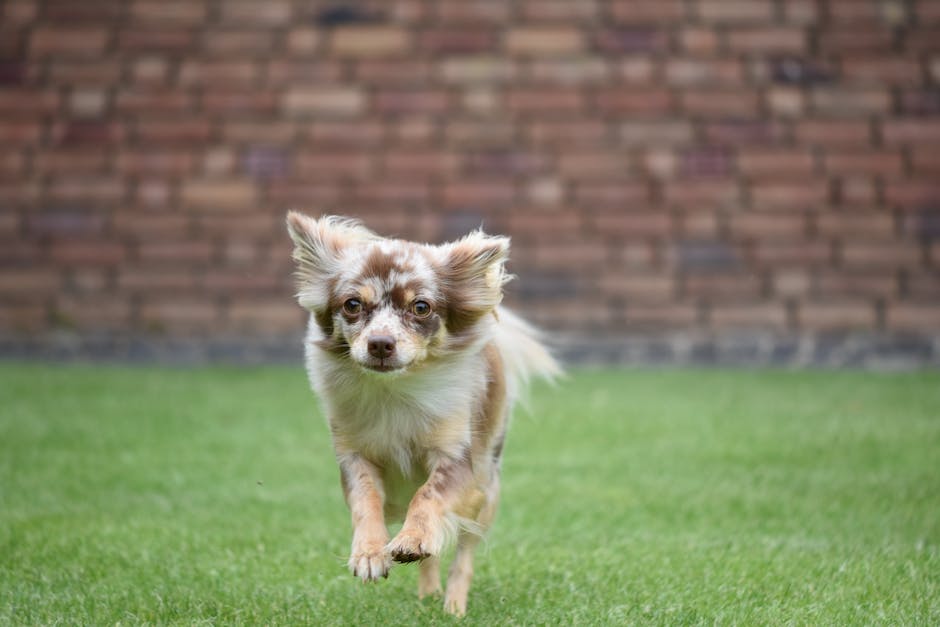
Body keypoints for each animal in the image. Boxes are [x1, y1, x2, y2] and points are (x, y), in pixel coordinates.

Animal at [286, 213, 560, 616]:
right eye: (352, 304)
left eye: (420, 307)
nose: (380, 343)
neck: (396, 392)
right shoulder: (354, 456)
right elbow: (366, 500)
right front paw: (369, 553)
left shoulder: (458, 461)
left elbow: (429, 496)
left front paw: (412, 539)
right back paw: (427, 593)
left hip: (486, 492)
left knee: (462, 554)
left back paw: (453, 606)